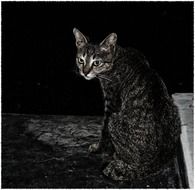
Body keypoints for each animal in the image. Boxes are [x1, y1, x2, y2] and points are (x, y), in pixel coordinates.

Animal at [72, 28, 181, 181]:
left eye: (97, 62)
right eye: (81, 60)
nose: (85, 72)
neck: (118, 56)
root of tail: (156, 162)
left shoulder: (111, 103)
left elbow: (104, 131)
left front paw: (99, 148)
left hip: (114, 120)